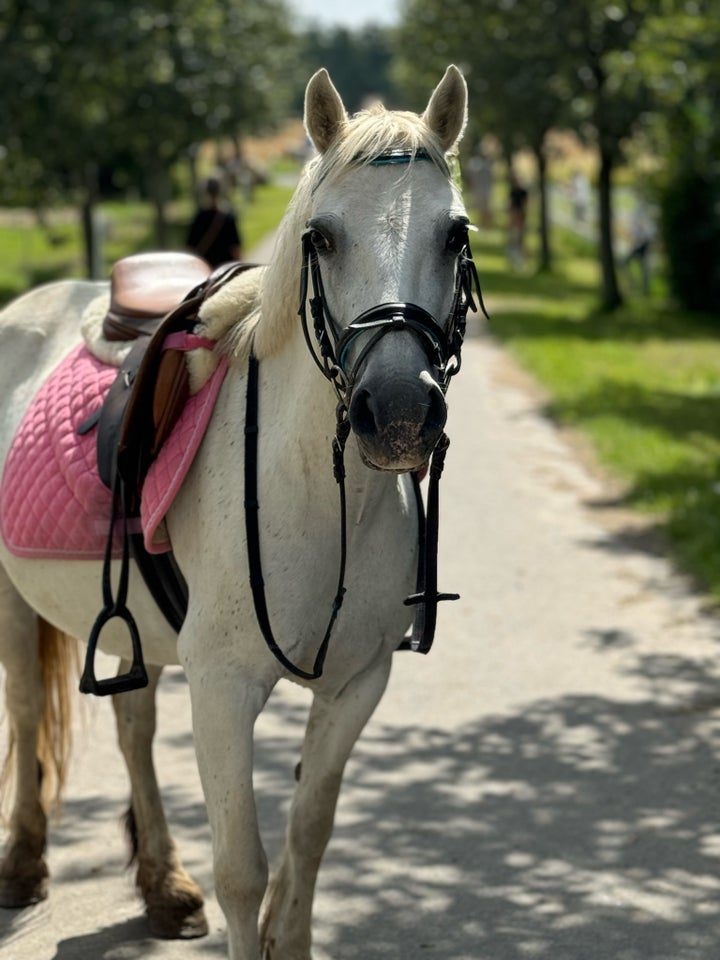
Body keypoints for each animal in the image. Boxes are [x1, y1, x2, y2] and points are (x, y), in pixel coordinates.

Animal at [0, 63, 472, 956]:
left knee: (134, 728)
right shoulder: (222, 689)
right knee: (25, 709)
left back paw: (162, 885)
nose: (397, 413)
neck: (323, 498)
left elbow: (307, 839)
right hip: (13, 602)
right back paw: (25, 863)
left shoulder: (358, 683)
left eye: (455, 234)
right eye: (322, 237)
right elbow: (244, 872)